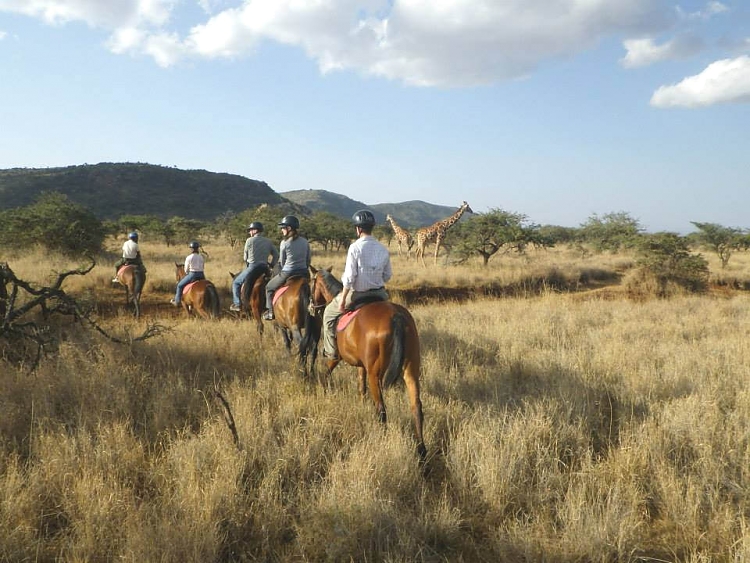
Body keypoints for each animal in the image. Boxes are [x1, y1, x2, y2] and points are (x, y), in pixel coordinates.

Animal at [310, 266, 426, 462]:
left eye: (310, 284)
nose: (311, 307)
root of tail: (397, 317)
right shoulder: (361, 366)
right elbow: (360, 388)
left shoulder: (337, 358)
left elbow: (326, 371)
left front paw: (323, 390)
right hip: (411, 370)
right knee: (416, 407)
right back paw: (422, 452)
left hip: (375, 374)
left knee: (381, 410)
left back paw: (383, 443)